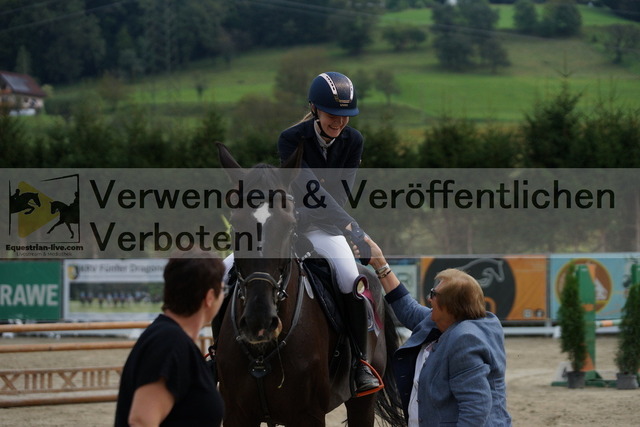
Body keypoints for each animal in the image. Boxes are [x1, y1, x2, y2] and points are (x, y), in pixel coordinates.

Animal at [216, 145, 404, 427]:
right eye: (236, 223)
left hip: (363, 402)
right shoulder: (236, 414)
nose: (259, 320)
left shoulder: (309, 415)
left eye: (289, 225)